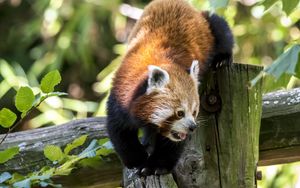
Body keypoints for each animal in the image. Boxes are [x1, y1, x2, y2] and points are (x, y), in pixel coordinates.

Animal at [106, 0, 233, 176]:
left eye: (194, 112)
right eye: (179, 113)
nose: (192, 127)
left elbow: (171, 144)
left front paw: (155, 165)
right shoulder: (120, 95)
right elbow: (120, 131)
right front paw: (137, 160)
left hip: (209, 26)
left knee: (221, 28)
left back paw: (222, 59)